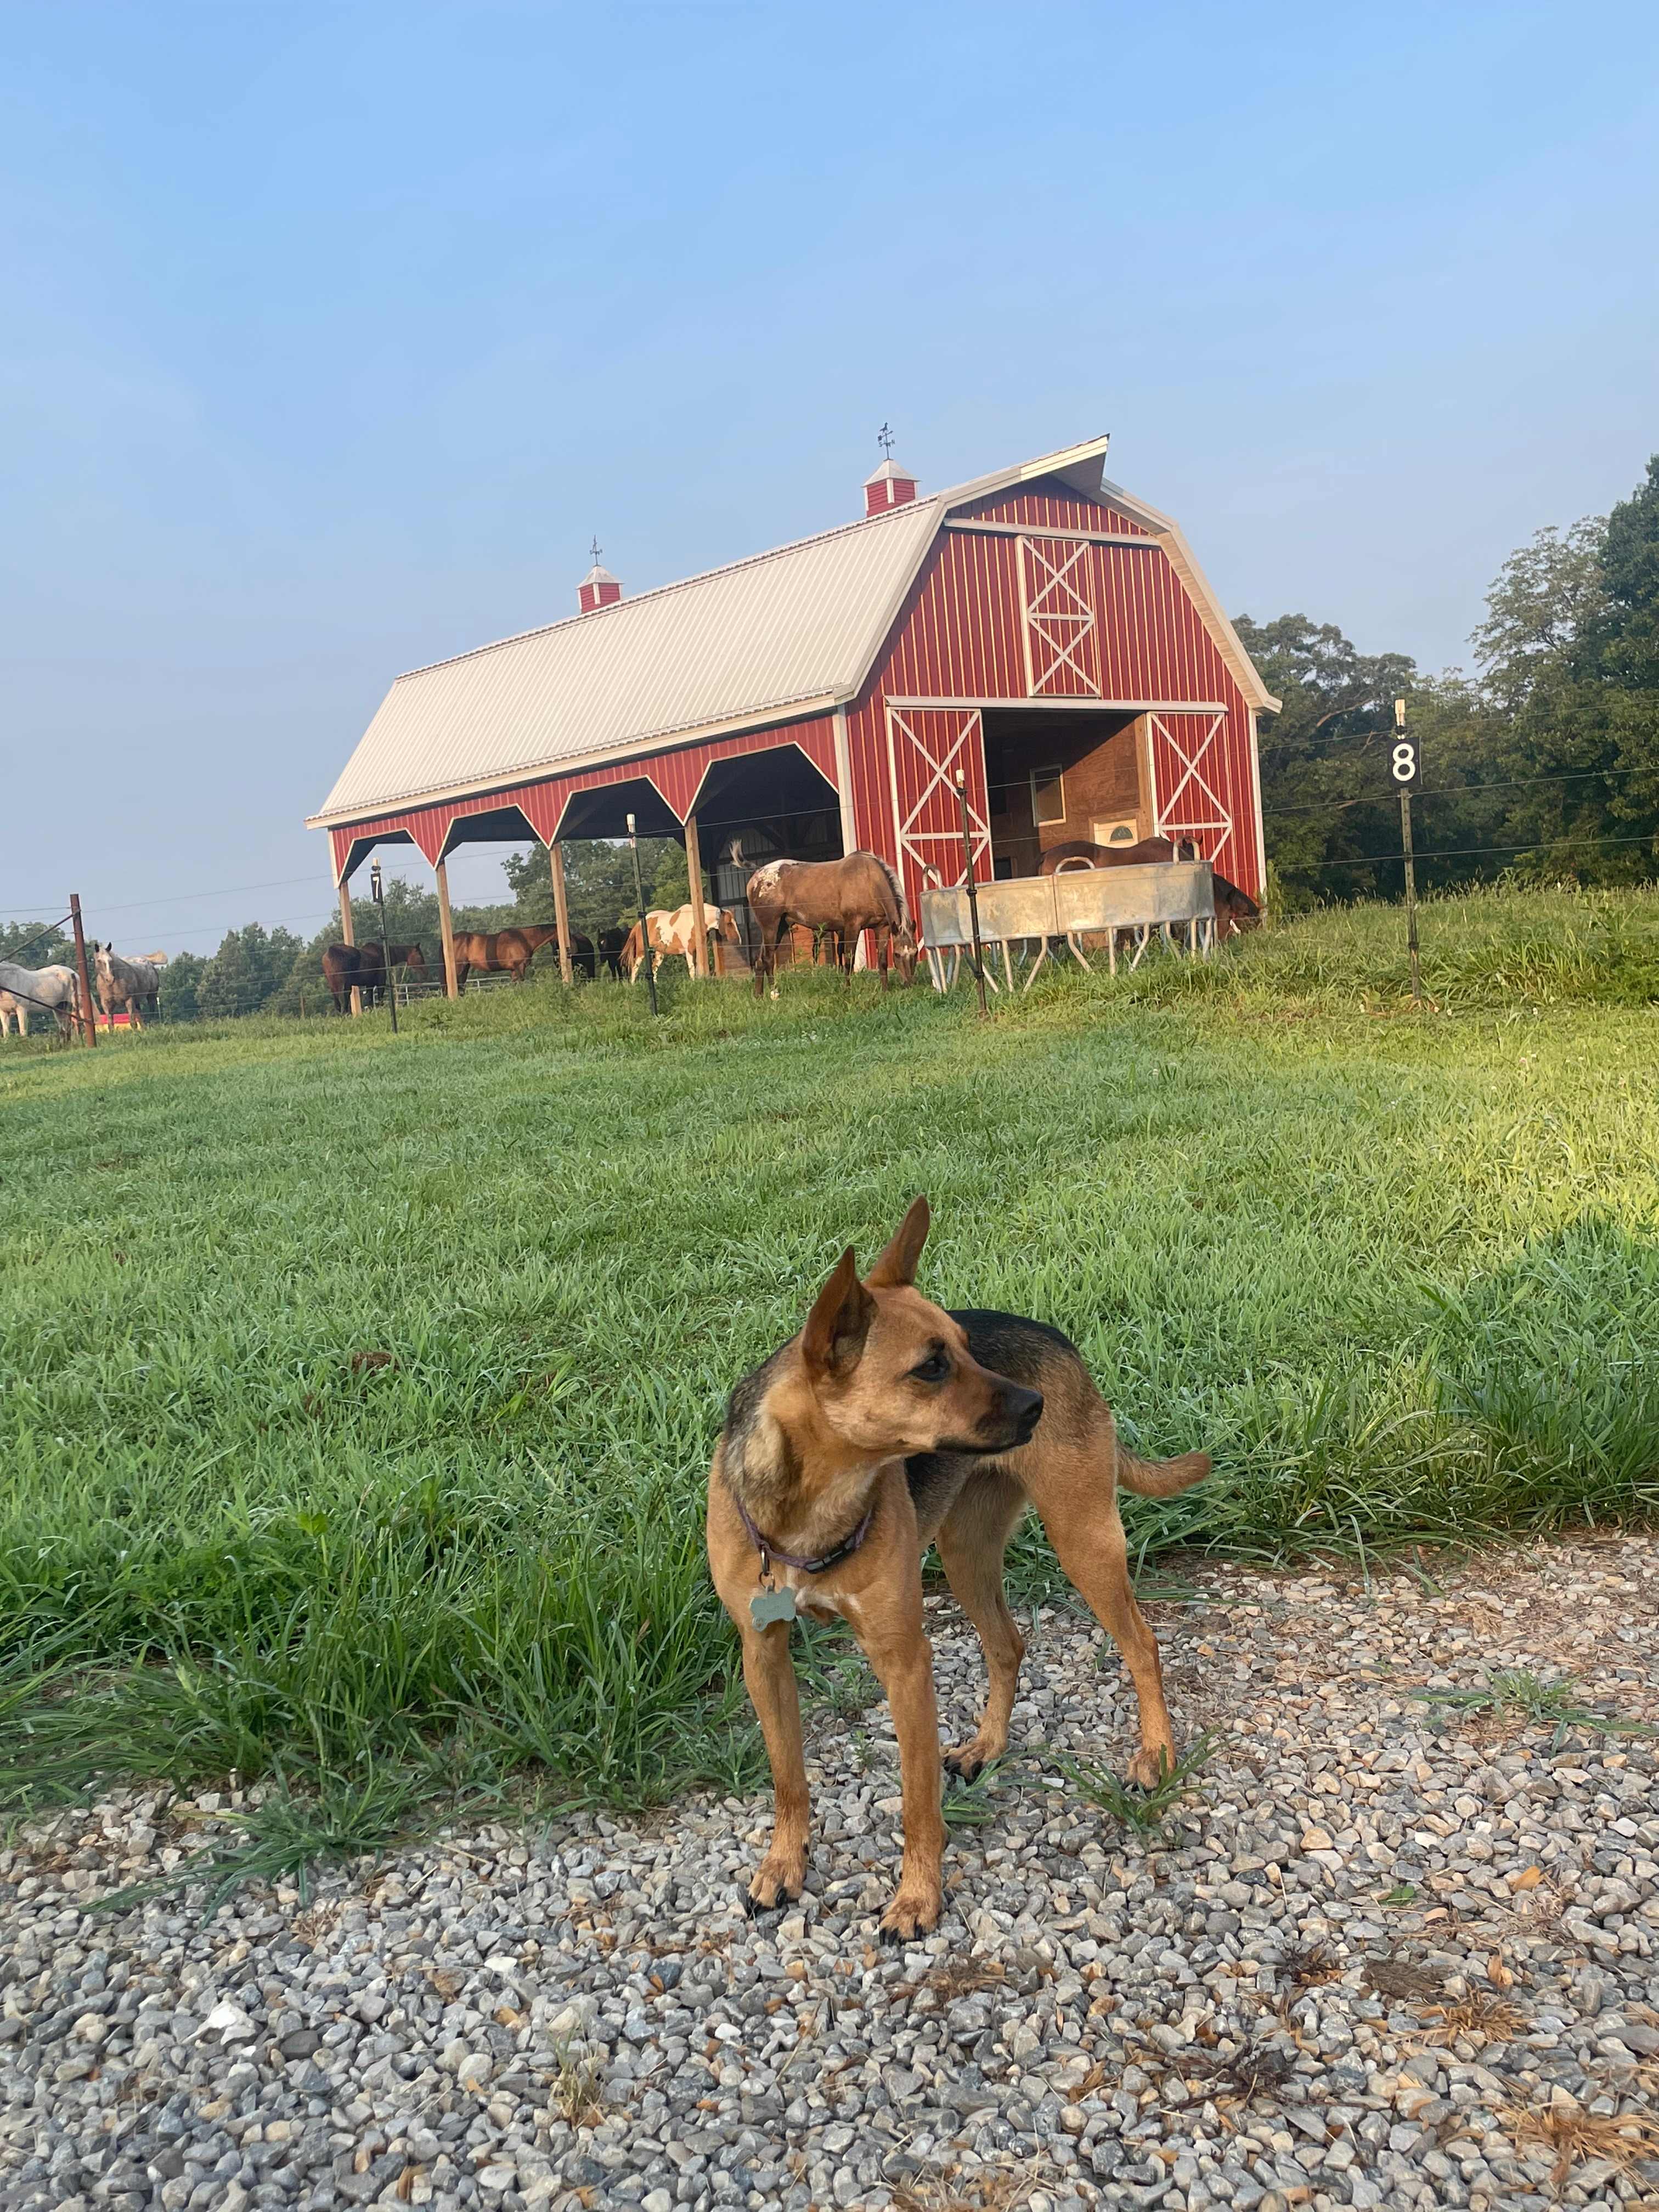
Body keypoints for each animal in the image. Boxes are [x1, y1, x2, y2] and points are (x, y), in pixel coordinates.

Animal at [94, 946, 164, 1030]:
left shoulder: (129, 1000)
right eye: (99, 960)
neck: (113, 985)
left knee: (152, 1010)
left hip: (152, 995)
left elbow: (133, 1023)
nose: (110, 979)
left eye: (111, 960)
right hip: (137, 1000)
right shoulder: (106, 1004)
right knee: (139, 1015)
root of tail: (149, 962)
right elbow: (111, 1025)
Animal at [321, 941, 428, 1012]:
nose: (425, 973)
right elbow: (379, 999)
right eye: (420, 956)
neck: (383, 954)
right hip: (345, 984)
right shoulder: (381, 983)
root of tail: (331, 952)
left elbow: (370, 1001)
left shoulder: (369, 984)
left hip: (333, 984)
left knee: (337, 1001)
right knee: (345, 998)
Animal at [743, 851, 916, 994]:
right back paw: (774, 993)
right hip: (770, 926)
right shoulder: (852, 926)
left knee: (760, 960)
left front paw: (885, 991)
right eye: (897, 955)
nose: (909, 984)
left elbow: (882, 961)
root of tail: (755, 878)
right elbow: (849, 960)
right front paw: (847, 990)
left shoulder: (883, 928)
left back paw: (759, 996)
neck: (868, 880)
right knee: (768, 958)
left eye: (915, 953)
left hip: (780, 926)